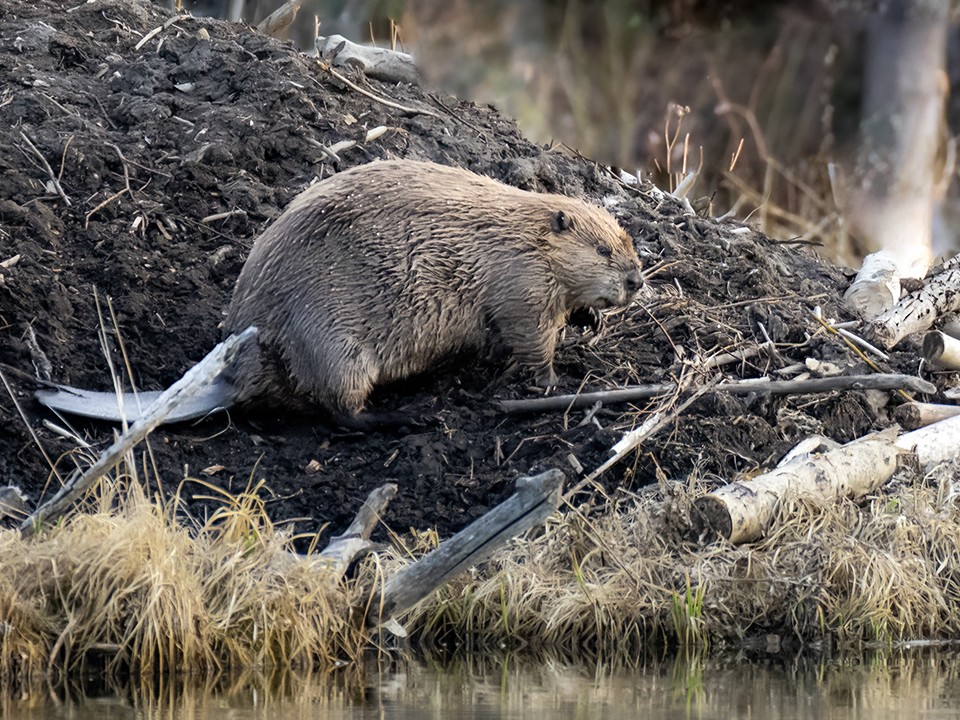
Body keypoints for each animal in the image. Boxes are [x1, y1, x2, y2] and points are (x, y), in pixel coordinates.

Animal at [35, 160, 644, 424]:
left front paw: (590, 319)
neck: (522, 231)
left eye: (626, 241)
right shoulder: (519, 281)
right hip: (334, 344)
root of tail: (233, 377)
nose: (637, 279)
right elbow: (528, 335)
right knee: (340, 411)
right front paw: (550, 379)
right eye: (603, 251)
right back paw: (405, 420)